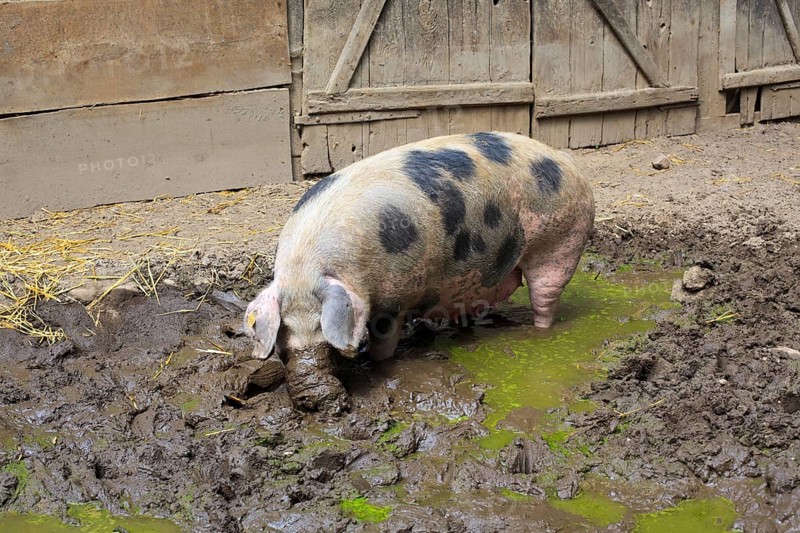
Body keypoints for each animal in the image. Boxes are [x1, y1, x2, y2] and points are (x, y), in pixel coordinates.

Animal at [244, 132, 594, 412]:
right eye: (282, 343)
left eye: (327, 341)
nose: (313, 399)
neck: (307, 269)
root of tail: (567, 162)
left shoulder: (393, 299)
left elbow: (384, 342)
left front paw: (378, 363)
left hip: (559, 243)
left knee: (545, 298)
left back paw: (539, 333)